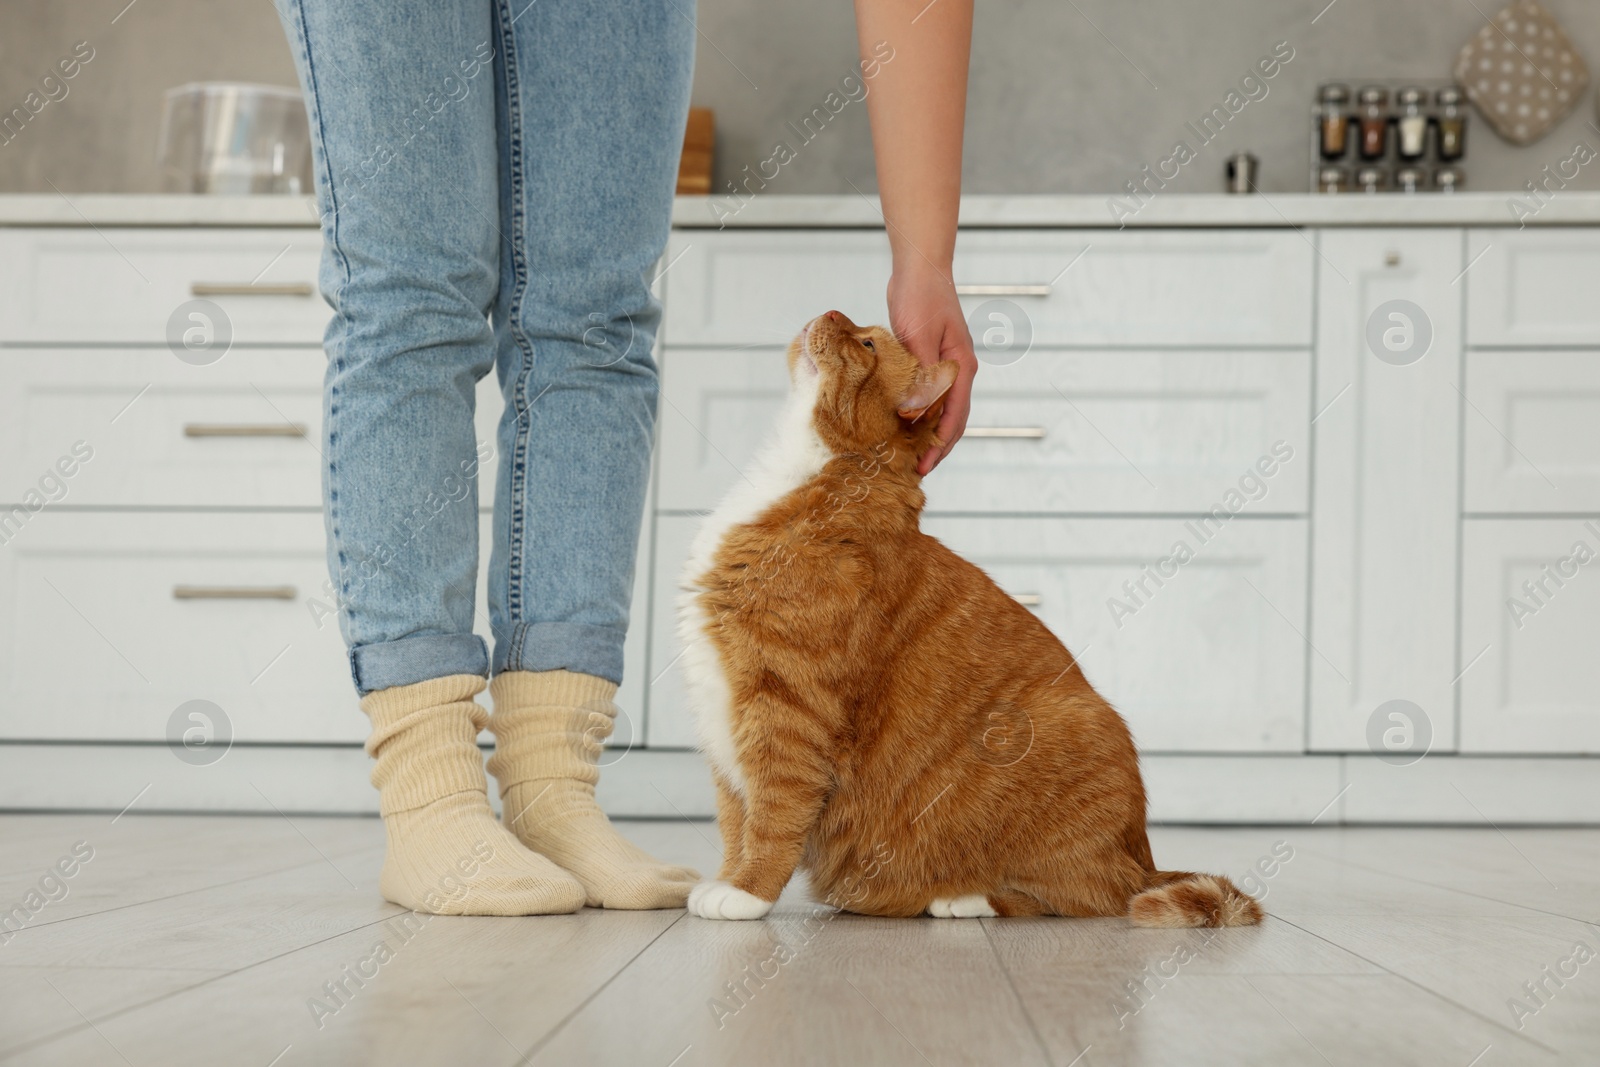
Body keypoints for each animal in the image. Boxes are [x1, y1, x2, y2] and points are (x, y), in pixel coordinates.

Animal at [675, 310, 1260, 927]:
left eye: (867, 343)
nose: (832, 313)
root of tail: (1143, 854)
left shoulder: (785, 710)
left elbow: (773, 818)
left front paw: (747, 892)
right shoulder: (725, 724)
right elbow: (734, 820)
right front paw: (724, 878)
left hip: (1060, 732)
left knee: (1085, 894)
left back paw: (961, 898)